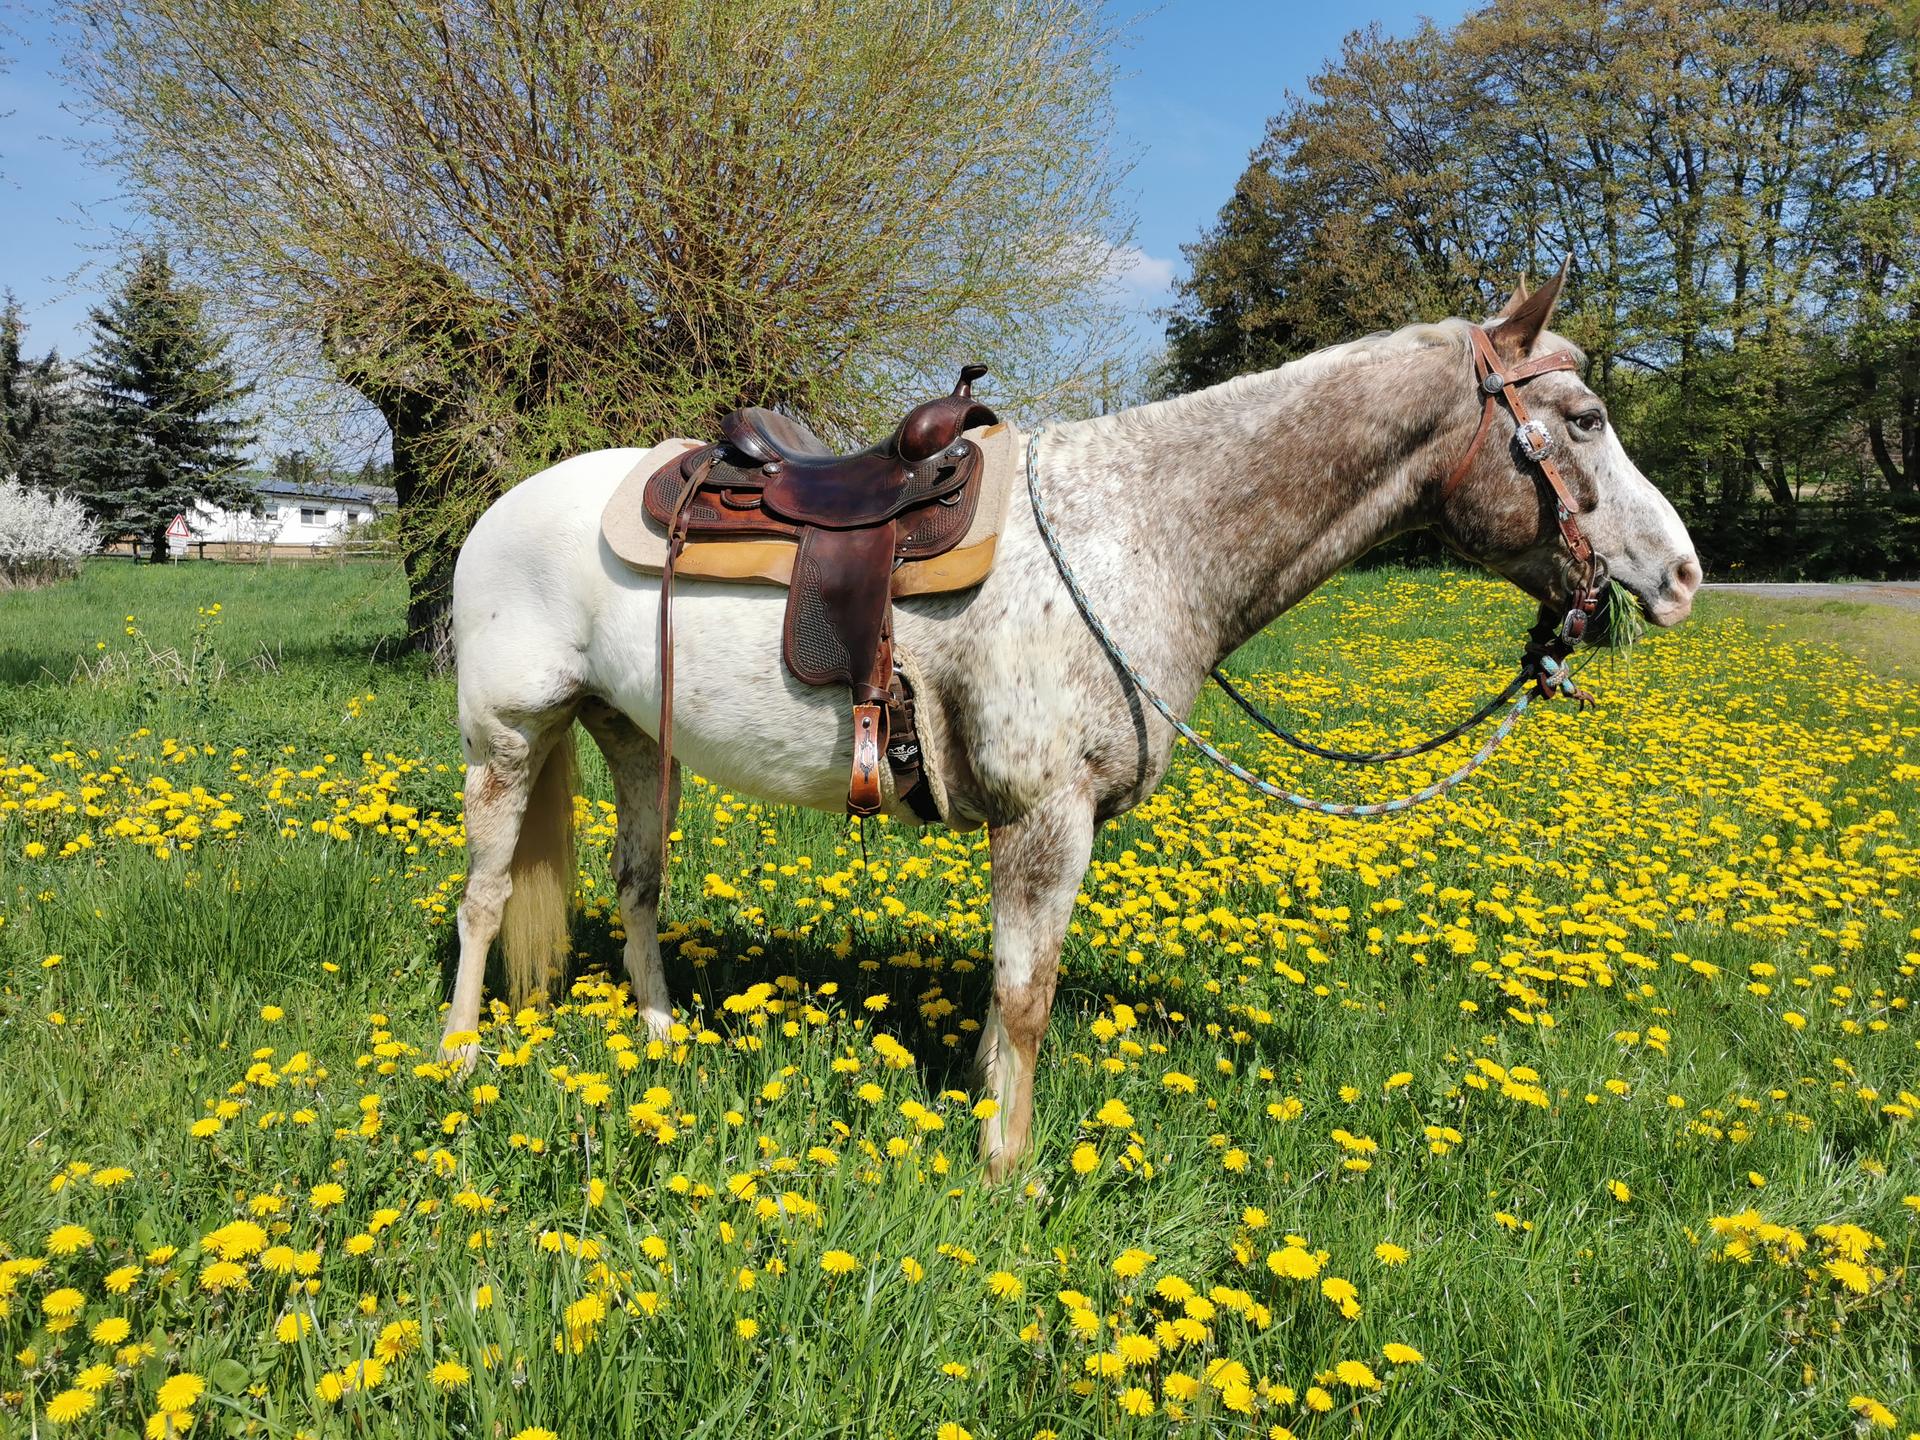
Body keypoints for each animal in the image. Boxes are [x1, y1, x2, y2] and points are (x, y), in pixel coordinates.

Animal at [438, 272, 1700, 1180]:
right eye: (1584, 419)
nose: (1683, 576)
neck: (1140, 532)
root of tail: (506, 506)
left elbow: (1010, 996)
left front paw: (990, 1115)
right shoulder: (1046, 819)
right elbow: (1028, 996)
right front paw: (1009, 1168)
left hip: (629, 737)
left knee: (636, 886)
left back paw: (660, 1044)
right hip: (507, 737)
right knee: (486, 897)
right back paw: (455, 1059)